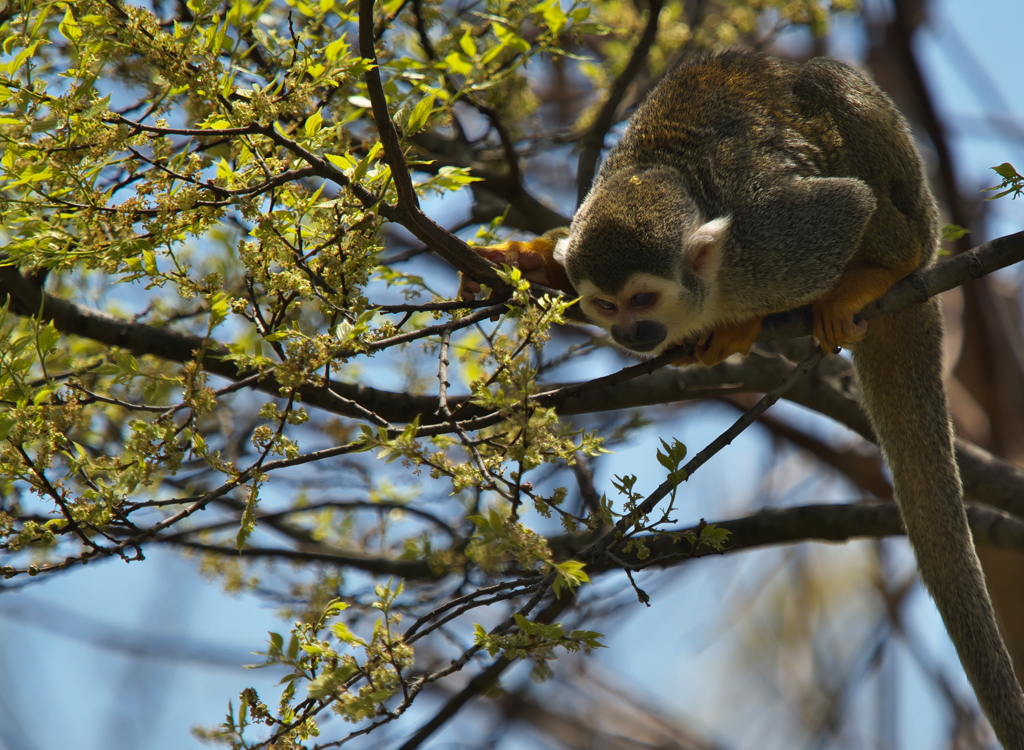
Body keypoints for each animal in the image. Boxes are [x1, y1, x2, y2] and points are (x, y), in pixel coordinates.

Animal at [462, 51, 1024, 745]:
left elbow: (844, 204)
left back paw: (873, 274)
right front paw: (530, 258)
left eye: (643, 299)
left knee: (849, 135)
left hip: (907, 208)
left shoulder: (772, 249)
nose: (631, 333)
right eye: (606, 305)